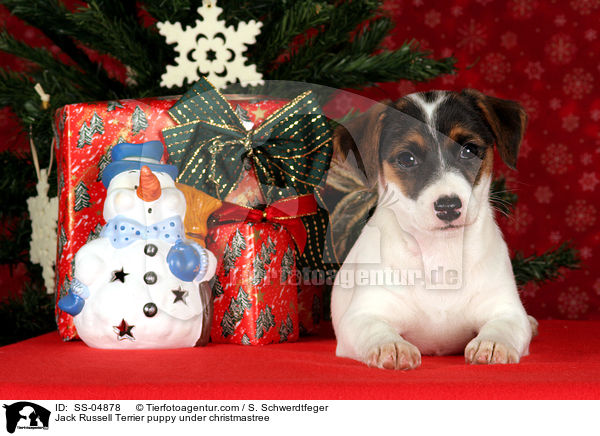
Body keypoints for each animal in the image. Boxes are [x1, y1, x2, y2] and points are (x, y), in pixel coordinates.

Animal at [330, 90, 536, 370]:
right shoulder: (361, 316)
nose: (448, 206)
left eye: (469, 150)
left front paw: (493, 343)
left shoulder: (506, 310)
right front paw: (391, 345)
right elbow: (374, 329)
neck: (440, 252)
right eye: (407, 158)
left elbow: (505, 326)